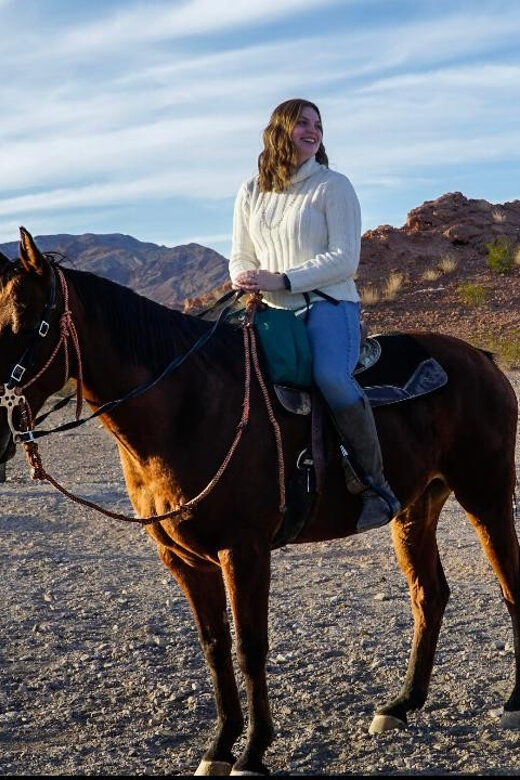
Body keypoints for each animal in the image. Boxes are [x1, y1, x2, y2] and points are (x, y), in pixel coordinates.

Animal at [0, 227, 519, 776]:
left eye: (29, 321)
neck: (188, 408)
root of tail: (482, 358)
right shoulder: (182, 558)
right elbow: (214, 646)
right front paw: (219, 746)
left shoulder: (244, 551)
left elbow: (251, 647)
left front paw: (253, 751)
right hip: (414, 508)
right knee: (429, 595)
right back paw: (401, 705)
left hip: (486, 494)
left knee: (509, 587)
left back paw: (511, 704)